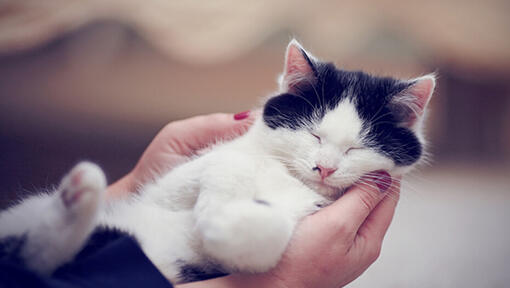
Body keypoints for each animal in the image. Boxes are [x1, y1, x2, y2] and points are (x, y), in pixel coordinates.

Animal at [0, 40, 434, 284]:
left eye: (355, 148)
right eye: (314, 134)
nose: (324, 167)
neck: (288, 179)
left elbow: (263, 238)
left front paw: (220, 222)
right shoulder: (166, 186)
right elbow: (228, 163)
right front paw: (224, 191)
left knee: (35, 260)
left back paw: (79, 196)